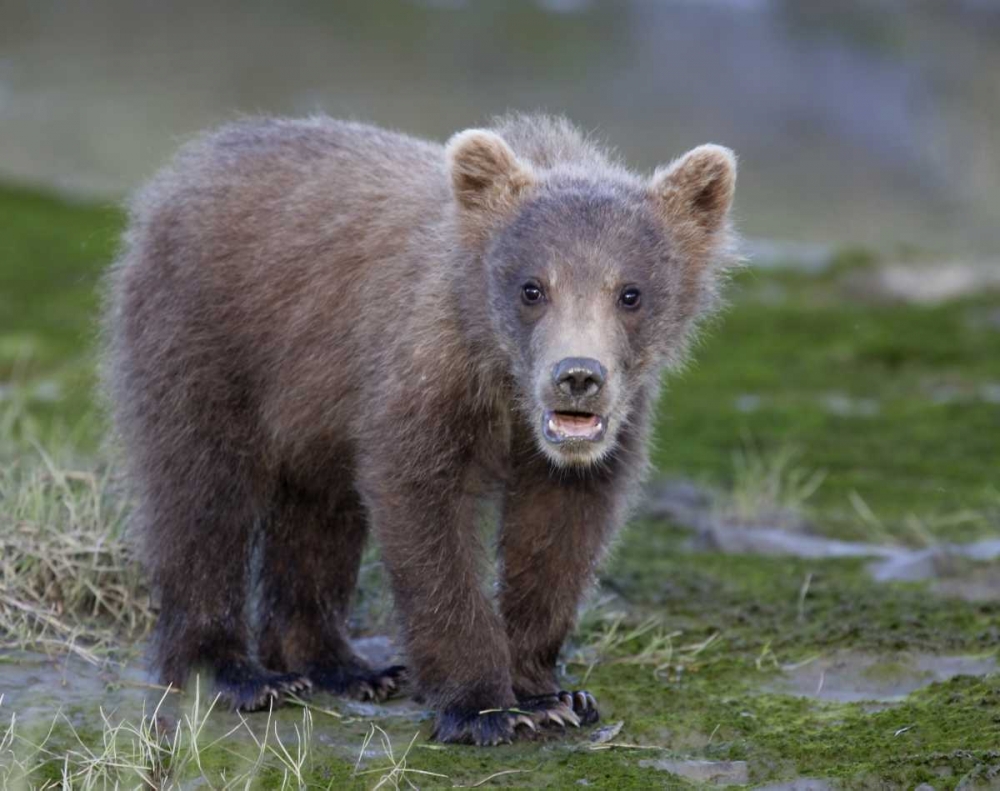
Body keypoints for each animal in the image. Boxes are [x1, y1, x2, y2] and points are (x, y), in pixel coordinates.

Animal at [103, 113, 738, 746]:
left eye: (630, 292)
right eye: (532, 287)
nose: (577, 376)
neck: (505, 386)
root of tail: (189, 165)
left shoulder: (597, 440)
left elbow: (558, 534)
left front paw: (552, 692)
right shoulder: (426, 374)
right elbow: (425, 517)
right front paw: (487, 707)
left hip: (314, 411)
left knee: (318, 515)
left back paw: (345, 666)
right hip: (212, 338)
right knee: (204, 495)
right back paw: (238, 674)